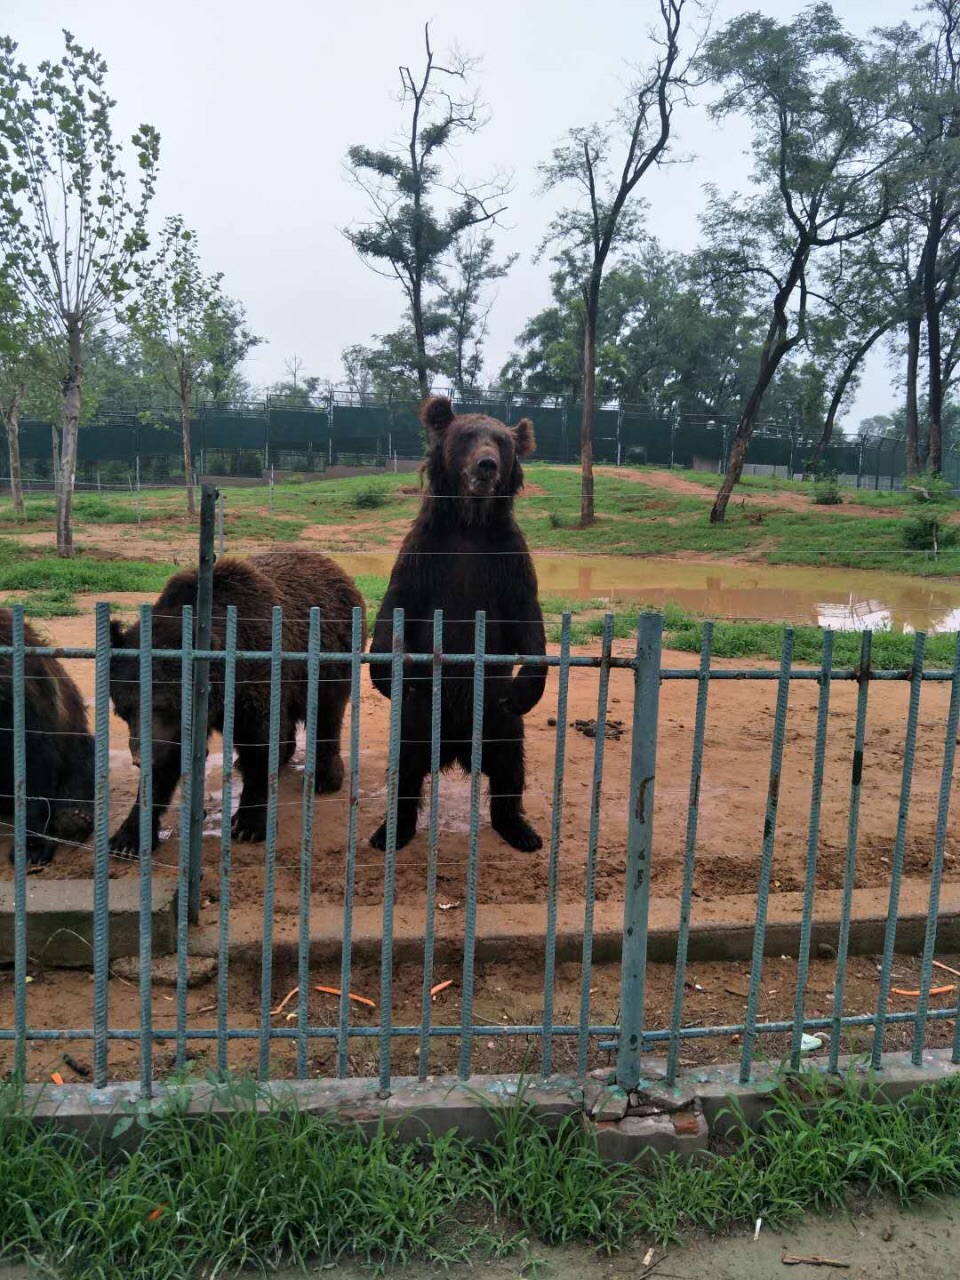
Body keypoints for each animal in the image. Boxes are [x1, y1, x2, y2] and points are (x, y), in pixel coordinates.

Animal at [110, 547, 368, 855]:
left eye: (165, 705)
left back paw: (326, 776)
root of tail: (336, 567)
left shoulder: (253, 675)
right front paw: (128, 837)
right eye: (123, 710)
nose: (139, 757)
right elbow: (165, 764)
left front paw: (249, 823)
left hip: (331, 656)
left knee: (328, 710)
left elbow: (259, 743)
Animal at [371, 394, 547, 855]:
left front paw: (529, 685)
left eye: (502, 441)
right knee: (406, 766)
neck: (470, 523)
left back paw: (520, 829)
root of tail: (455, 749)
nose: (487, 464)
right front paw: (384, 674)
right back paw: (390, 831)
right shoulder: (425, 555)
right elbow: (395, 604)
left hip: (495, 715)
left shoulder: (507, 560)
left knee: (509, 764)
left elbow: (528, 618)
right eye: (467, 435)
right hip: (419, 712)